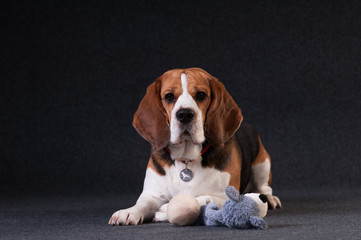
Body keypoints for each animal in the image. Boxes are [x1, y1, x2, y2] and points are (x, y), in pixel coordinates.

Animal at [108, 68, 280, 226]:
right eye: (169, 96)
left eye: (201, 95)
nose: (184, 114)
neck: (186, 159)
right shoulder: (152, 194)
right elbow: (143, 203)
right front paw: (128, 212)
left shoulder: (225, 196)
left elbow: (200, 199)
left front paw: (166, 209)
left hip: (262, 164)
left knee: (264, 188)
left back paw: (270, 199)